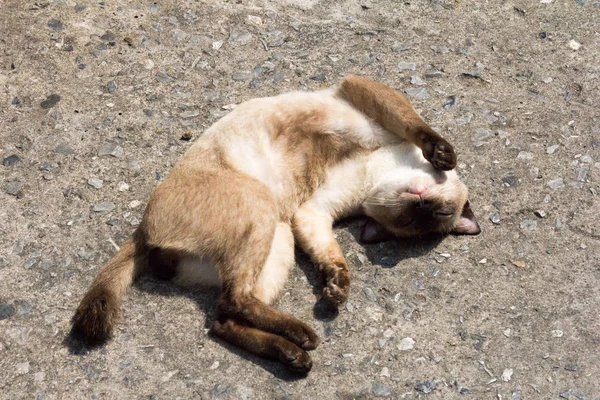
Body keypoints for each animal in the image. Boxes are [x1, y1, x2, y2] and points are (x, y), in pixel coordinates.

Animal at [71, 75, 482, 376]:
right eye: (427, 215)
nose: (422, 205)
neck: (375, 170)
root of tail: (142, 233)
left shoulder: (311, 213)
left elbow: (333, 259)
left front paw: (336, 290)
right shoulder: (360, 91)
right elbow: (417, 124)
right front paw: (442, 154)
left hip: (278, 234)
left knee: (224, 314)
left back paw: (295, 352)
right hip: (266, 212)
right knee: (231, 302)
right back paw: (302, 339)